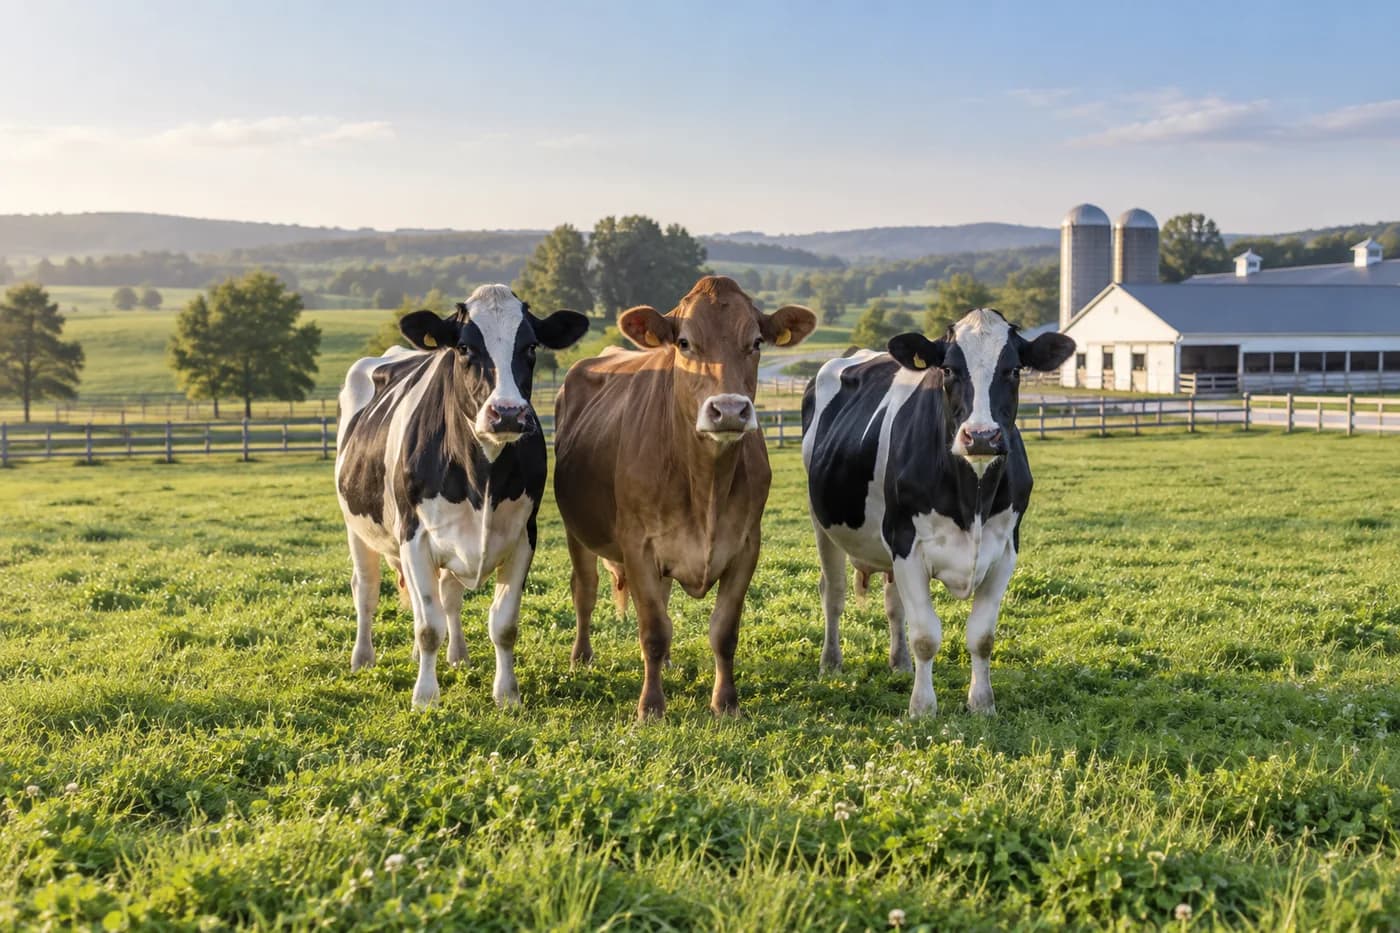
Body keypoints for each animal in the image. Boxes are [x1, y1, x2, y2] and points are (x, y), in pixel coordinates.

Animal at [334, 284, 588, 708]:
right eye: (465, 347)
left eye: (531, 345)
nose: (507, 413)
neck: (480, 474)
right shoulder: (414, 536)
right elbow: (428, 627)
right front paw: (425, 697)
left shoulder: (524, 536)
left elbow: (503, 624)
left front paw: (507, 694)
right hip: (358, 528)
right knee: (366, 590)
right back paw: (362, 659)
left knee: (447, 595)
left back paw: (457, 657)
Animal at [554, 275, 817, 720]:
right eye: (684, 343)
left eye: (757, 342)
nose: (728, 410)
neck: (706, 486)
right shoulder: (638, 545)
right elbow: (653, 631)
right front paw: (650, 707)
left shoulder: (746, 545)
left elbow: (723, 630)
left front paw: (726, 703)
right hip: (579, 532)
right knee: (585, 591)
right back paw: (581, 657)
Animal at [801, 309, 1074, 717]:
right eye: (947, 369)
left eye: (1014, 370)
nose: (981, 436)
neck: (971, 497)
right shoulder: (907, 545)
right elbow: (926, 636)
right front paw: (922, 708)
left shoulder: (1005, 550)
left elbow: (982, 636)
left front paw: (982, 703)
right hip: (824, 524)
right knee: (833, 593)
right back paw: (831, 663)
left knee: (893, 604)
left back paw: (899, 663)